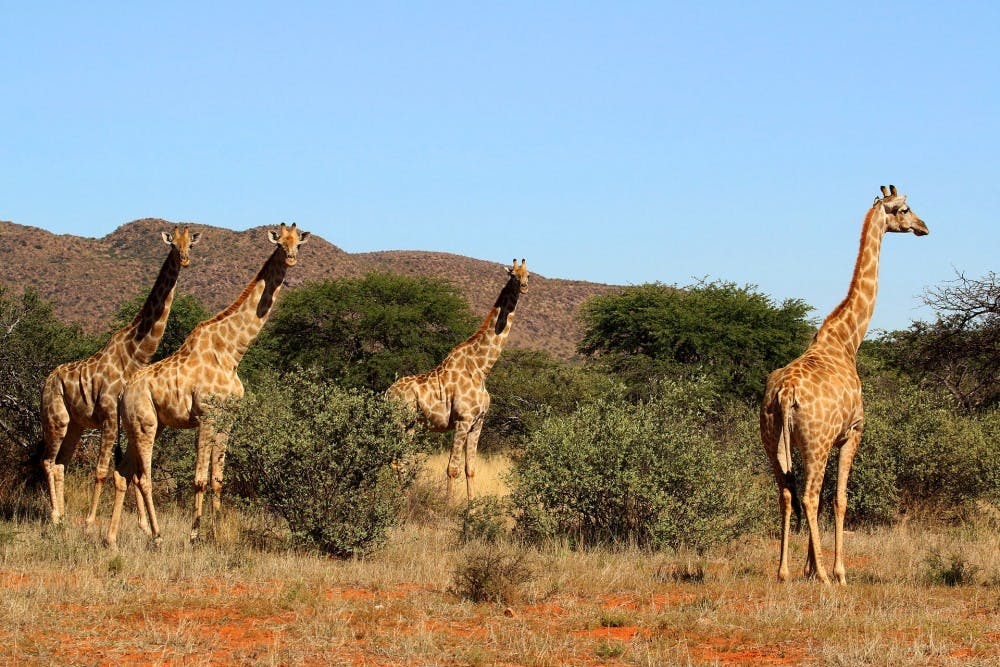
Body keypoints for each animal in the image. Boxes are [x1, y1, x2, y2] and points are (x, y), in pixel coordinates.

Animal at [40, 226, 200, 527]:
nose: (184, 260)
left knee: (60, 463)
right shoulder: (109, 415)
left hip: (76, 424)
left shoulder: (127, 420)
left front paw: (143, 525)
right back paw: (55, 516)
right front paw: (91, 523)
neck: (134, 354)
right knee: (47, 461)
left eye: (191, 245)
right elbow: (103, 470)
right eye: (173, 245)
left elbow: (132, 471)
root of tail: (47, 380)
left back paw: (63, 515)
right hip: (56, 419)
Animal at [104, 223, 309, 549]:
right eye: (280, 243)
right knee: (143, 476)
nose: (290, 259)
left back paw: (111, 539)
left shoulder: (228, 419)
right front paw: (194, 535)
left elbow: (218, 478)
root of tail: (123, 391)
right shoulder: (206, 416)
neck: (232, 352)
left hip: (147, 426)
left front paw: (217, 530)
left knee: (123, 473)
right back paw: (157, 536)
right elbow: (199, 479)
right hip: (144, 424)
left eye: (297, 243)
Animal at [387, 259, 529, 500]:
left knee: (399, 459)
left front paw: (472, 507)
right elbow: (452, 469)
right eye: (512, 275)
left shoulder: (477, 423)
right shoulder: (462, 421)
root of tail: (387, 393)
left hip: (410, 426)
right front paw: (448, 504)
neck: (481, 368)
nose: (525, 286)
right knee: (396, 460)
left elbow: (470, 468)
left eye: (529, 274)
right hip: (401, 422)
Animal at [760, 185, 928, 585]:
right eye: (905, 209)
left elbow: (822, 498)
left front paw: (807, 566)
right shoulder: (852, 433)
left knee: (786, 493)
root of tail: (784, 394)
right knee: (808, 496)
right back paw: (825, 575)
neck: (848, 339)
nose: (923, 227)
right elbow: (839, 499)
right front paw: (836, 571)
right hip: (817, 441)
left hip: (774, 441)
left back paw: (783, 571)